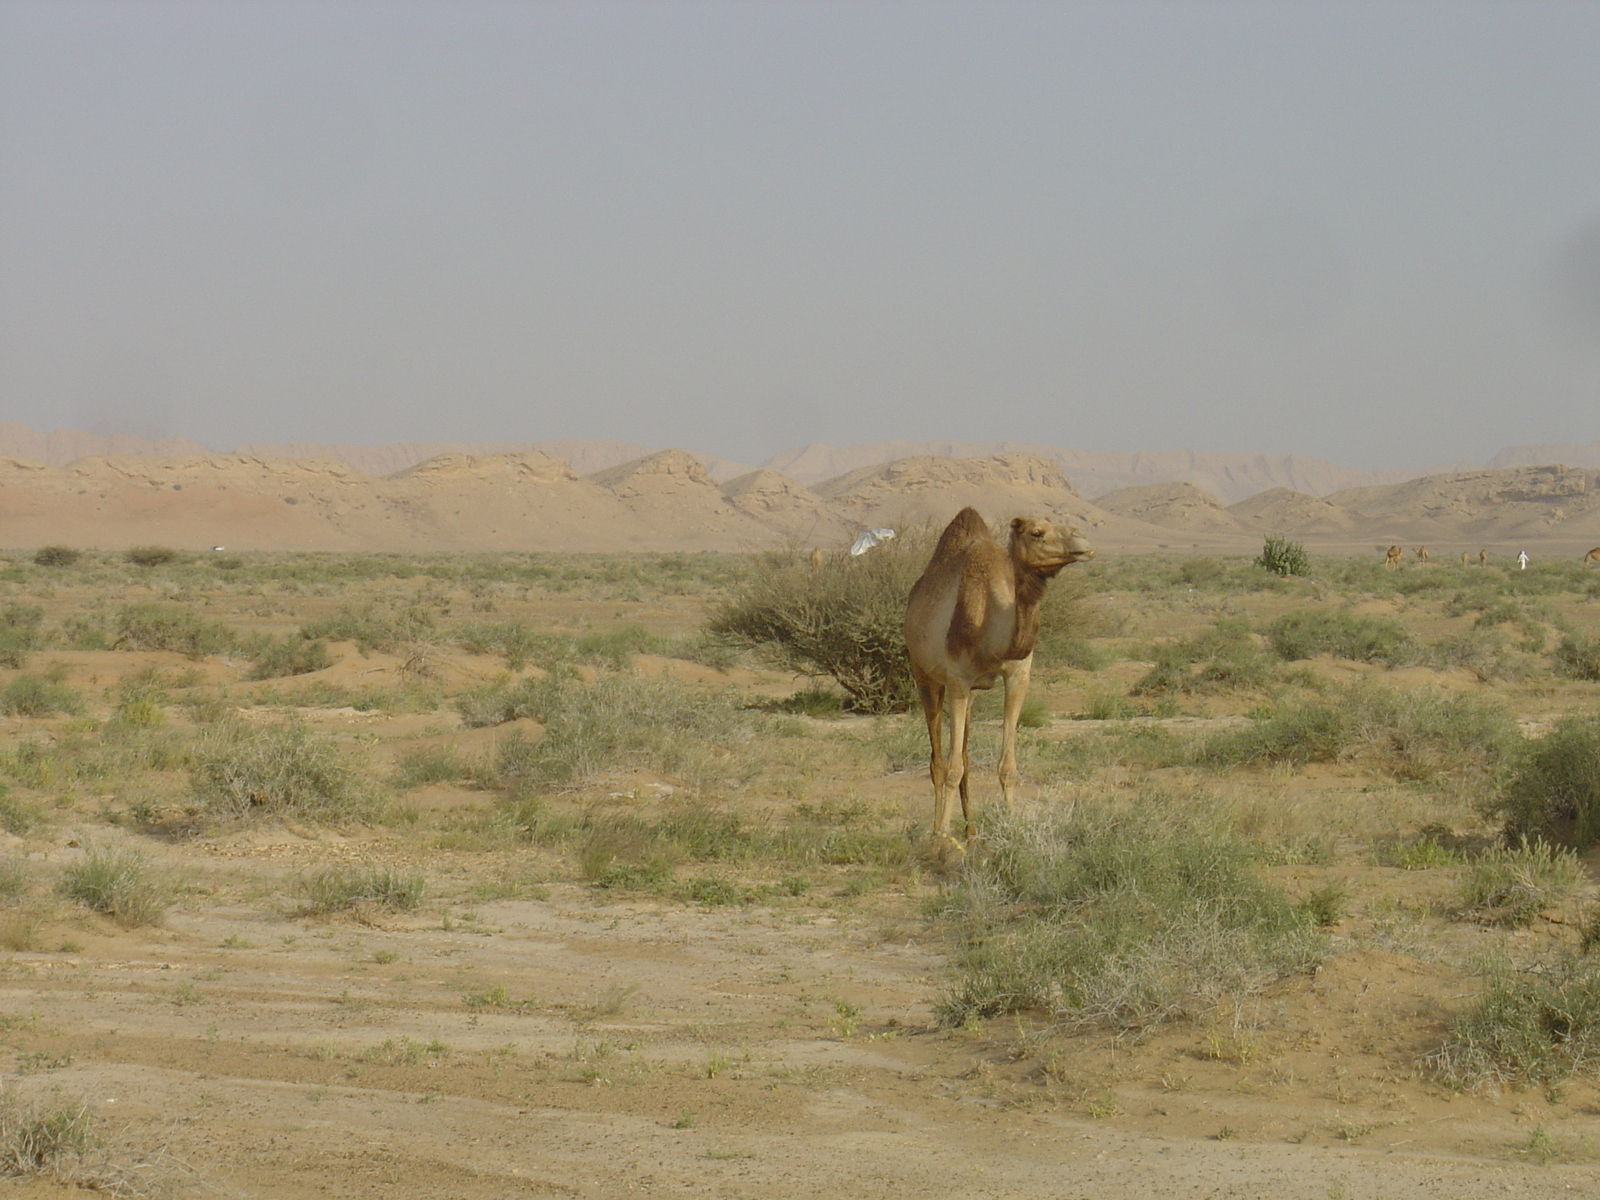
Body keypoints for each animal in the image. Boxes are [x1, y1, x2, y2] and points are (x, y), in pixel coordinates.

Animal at [908, 508, 1094, 857]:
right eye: (1036, 532)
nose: (1083, 541)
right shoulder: (957, 681)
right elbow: (951, 769)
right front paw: (943, 839)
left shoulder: (1018, 676)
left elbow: (1006, 766)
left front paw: (1011, 828)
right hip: (924, 676)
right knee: (938, 761)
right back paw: (938, 834)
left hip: (969, 695)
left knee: (964, 757)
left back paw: (971, 832)